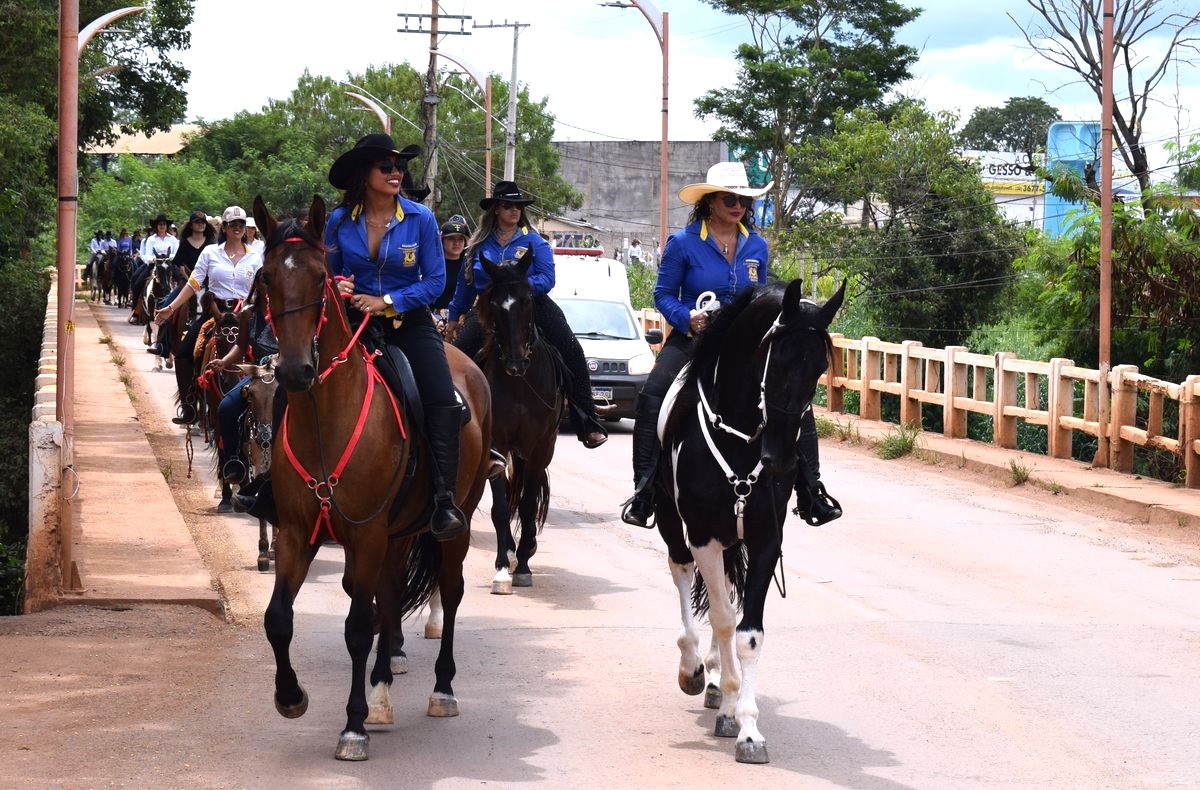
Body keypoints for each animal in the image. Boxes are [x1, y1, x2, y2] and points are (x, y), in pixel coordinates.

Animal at [253, 193, 492, 758]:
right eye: (267, 277)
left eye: (321, 277)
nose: (294, 370)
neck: (327, 420)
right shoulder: (299, 533)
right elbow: (278, 619)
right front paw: (291, 696)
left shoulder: (364, 534)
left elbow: (359, 626)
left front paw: (353, 725)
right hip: (396, 533)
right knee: (390, 594)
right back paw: (382, 690)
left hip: (456, 521)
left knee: (449, 593)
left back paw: (442, 689)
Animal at [657, 278, 844, 763]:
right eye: (775, 360)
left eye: (819, 368)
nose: (781, 461)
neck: (741, 441)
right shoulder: (703, 536)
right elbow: (723, 620)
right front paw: (721, 692)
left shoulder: (763, 539)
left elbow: (747, 633)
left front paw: (747, 727)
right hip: (673, 522)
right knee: (682, 574)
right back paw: (695, 669)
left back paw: (719, 689)